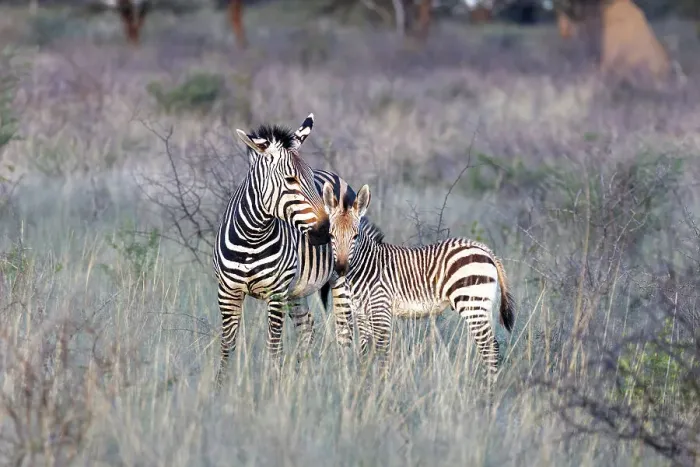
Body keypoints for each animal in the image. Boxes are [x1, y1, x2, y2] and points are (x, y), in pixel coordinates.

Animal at [212, 114, 379, 385]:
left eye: (311, 180)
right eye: (291, 180)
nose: (326, 232)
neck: (251, 237)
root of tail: (337, 177)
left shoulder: (276, 293)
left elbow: (274, 345)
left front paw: (273, 384)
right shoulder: (227, 293)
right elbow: (228, 345)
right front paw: (220, 386)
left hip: (340, 281)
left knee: (344, 332)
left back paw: (345, 379)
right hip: (297, 292)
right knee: (307, 328)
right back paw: (304, 374)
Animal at [320, 181, 516, 390]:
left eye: (355, 236)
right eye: (331, 235)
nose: (340, 269)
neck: (367, 267)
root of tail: (484, 249)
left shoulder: (381, 311)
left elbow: (382, 353)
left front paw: (382, 387)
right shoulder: (362, 314)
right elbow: (365, 353)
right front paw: (363, 384)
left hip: (472, 304)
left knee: (490, 346)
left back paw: (488, 389)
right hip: (481, 305)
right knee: (490, 345)